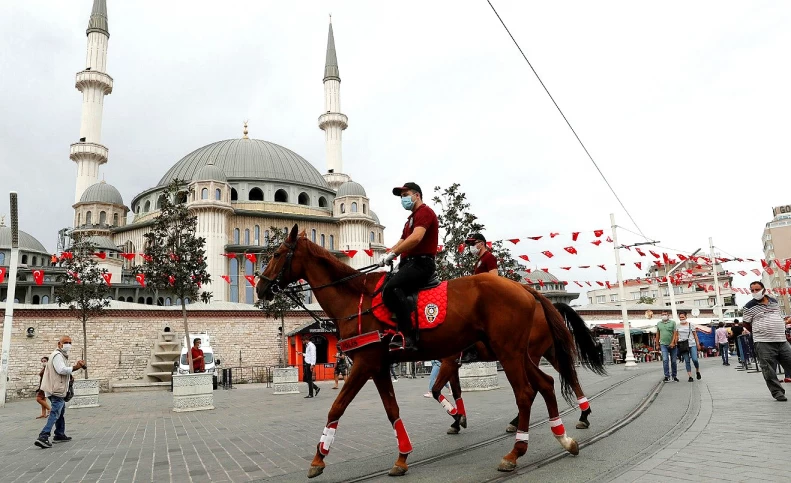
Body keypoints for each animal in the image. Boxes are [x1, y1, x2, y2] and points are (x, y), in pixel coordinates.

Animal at [260, 226, 580, 476]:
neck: (356, 300)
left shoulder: (365, 363)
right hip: (519, 353)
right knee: (546, 383)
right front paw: (403, 457)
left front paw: (318, 458)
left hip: (510, 352)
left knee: (526, 392)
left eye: (276, 254)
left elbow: (336, 407)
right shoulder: (379, 366)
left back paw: (516, 451)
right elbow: (393, 410)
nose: (261, 288)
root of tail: (527, 290)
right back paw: (563, 437)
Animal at [430, 296, 604, 436]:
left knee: (534, 387)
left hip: (529, 356)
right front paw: (458, 421)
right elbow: (456, 392)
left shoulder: (449, 362)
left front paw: (457, 417)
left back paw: (516, 422)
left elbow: (435, 390)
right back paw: (584, 415)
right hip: (551, 353)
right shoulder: (452, 364)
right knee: (571, 378)